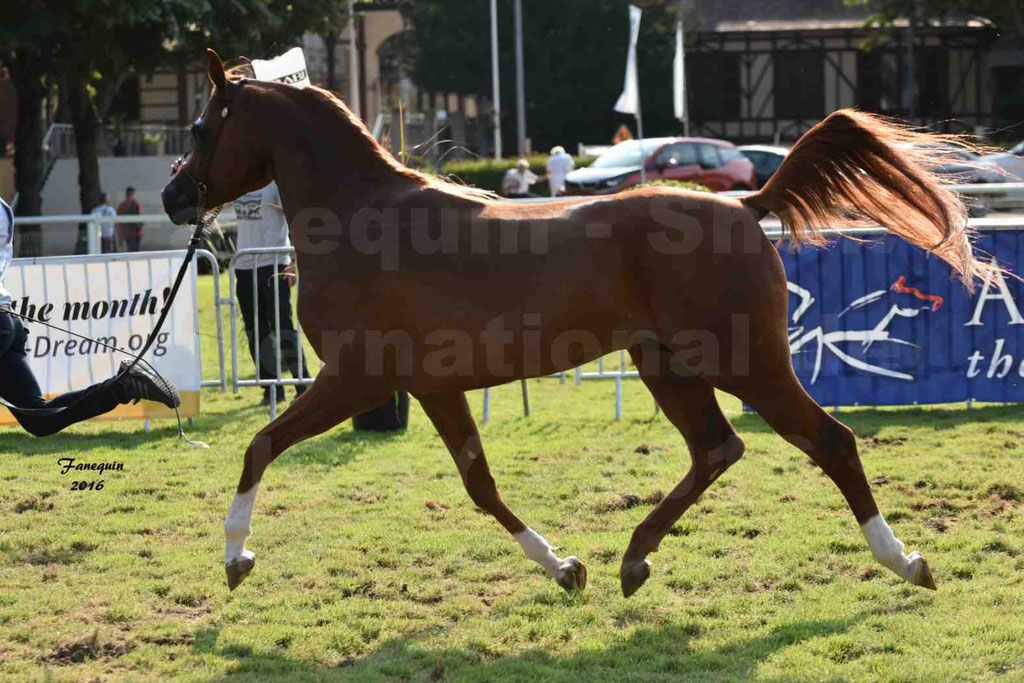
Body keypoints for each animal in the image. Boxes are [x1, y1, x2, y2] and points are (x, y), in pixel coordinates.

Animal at [163, 50, 987, 598]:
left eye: (202, 127)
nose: (174, 199)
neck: (365, 220)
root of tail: (744, 204)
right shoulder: (432, 389)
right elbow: (481, 485)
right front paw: (565, 567)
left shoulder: (356, 379)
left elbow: (260, 444)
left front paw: (236, 558)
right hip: (666, 365)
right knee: (717, 448)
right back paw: (633, 559)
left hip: (745, 362)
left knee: (830, 441)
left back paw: (906, 561)